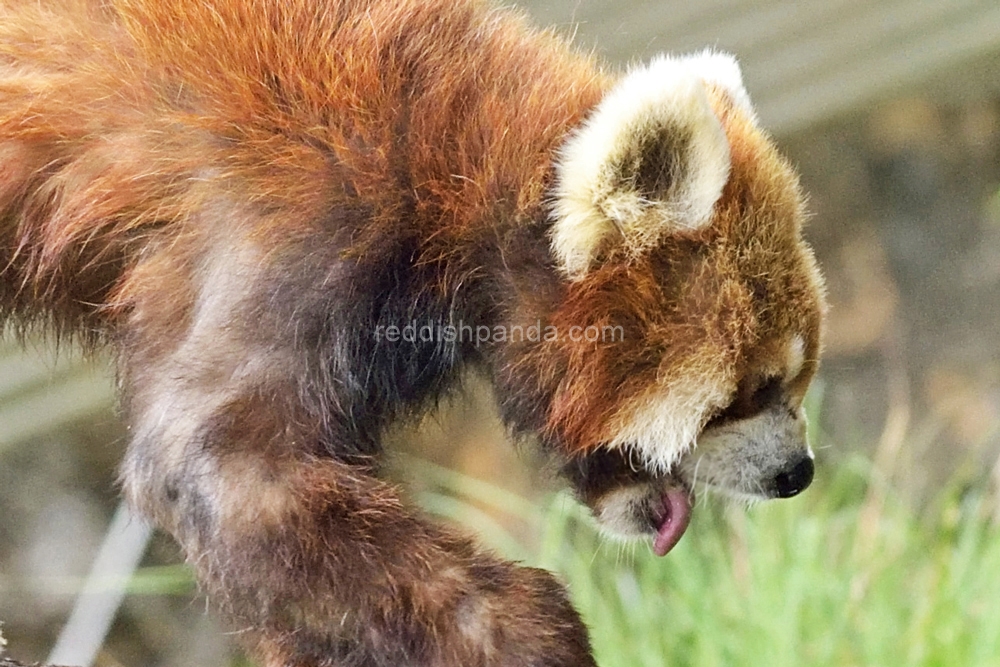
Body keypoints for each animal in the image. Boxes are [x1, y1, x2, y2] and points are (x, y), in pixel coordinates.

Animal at [0, 0, 828, 664]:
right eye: (747, 390)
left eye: (794, 378)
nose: (798, 472)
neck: (450, 157)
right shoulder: (307, 227)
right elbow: (214, 468)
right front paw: (530, 634)